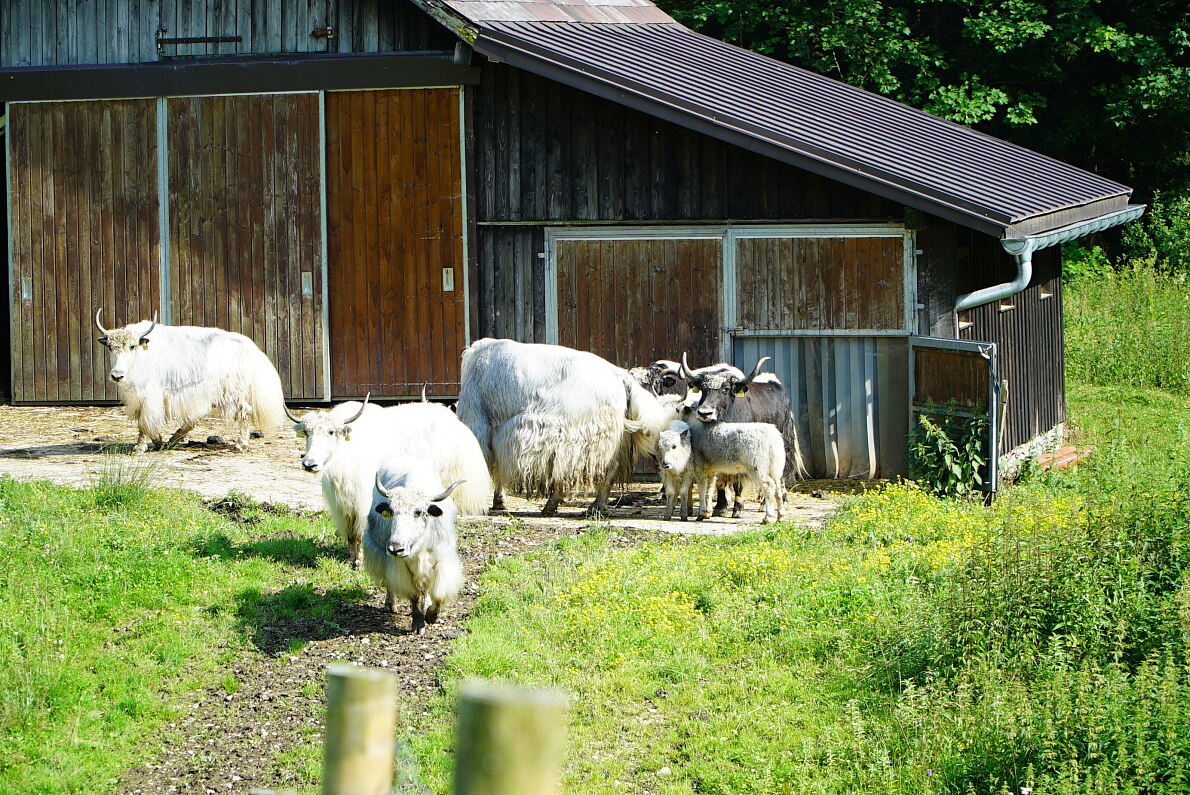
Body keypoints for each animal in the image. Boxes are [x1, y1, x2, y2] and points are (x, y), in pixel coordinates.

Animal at [366, 459, 464, 633]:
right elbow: (413, 595)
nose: (395, 548)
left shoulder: (441, 560)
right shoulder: (401, 566)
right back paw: (391, 605)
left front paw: (431, 616)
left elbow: (439, 593)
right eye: (391, 512)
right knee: (390, 583)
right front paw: (418, 623)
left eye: (418, 512)